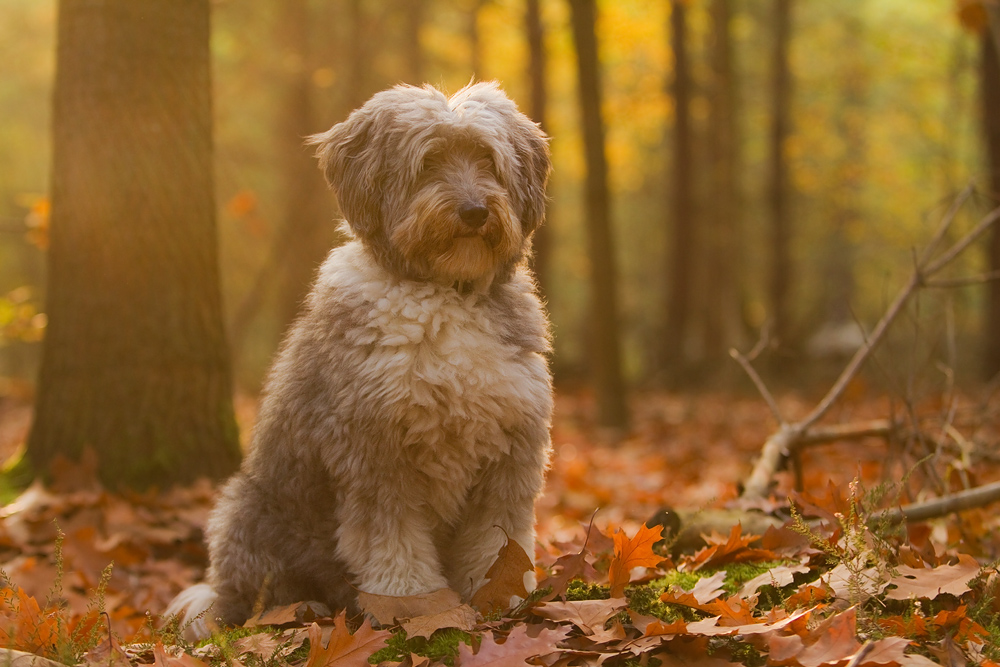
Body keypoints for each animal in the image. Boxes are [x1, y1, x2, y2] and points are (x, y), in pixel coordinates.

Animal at [168, 81, 552, 636]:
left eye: (486, 158)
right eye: (429, 161)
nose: (475, 211)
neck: (445, 292)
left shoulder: (510, 451)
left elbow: (498, 539)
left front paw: (502, 593)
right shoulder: (374, 451)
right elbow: (391, 538)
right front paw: (414, 604)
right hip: (250, 511)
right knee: (258, 594)